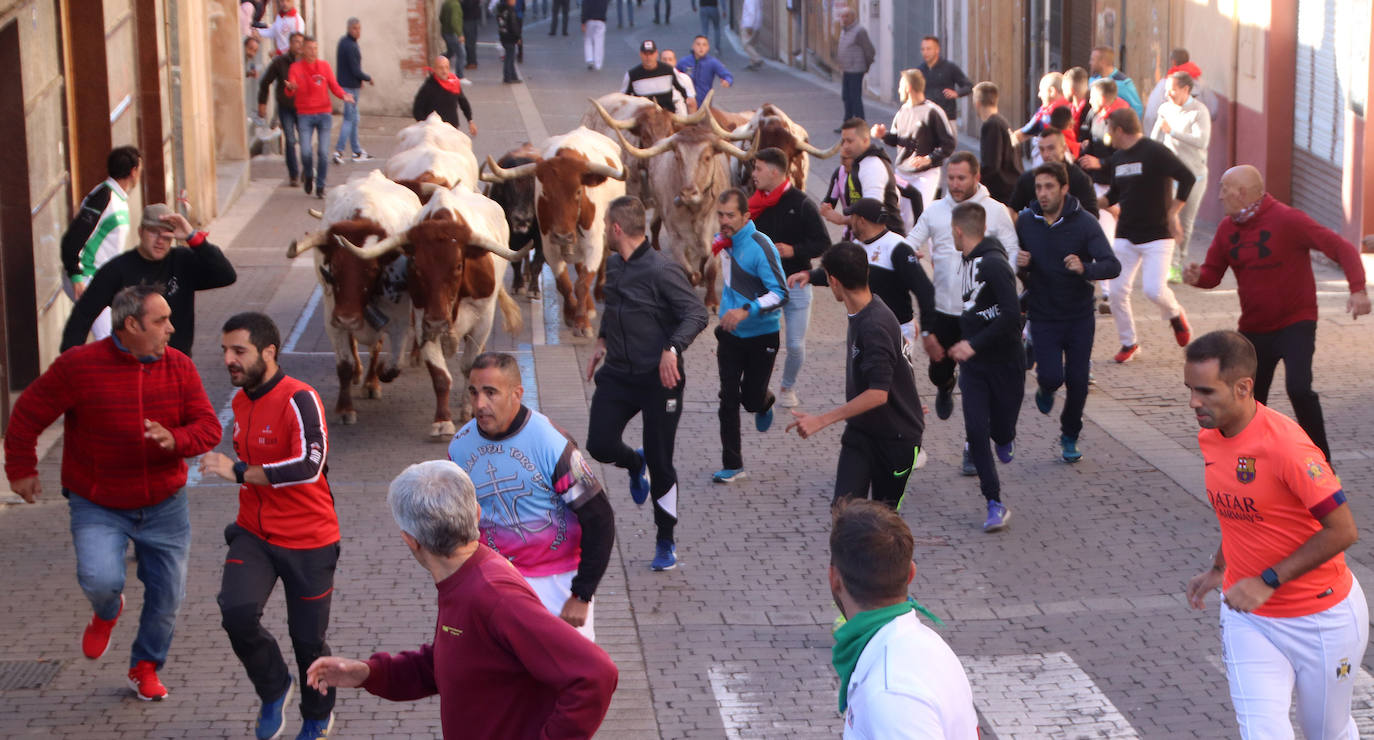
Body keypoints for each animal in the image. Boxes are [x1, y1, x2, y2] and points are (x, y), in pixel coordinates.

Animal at [287, 170, 420, 425]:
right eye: (333, 268)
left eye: (372, 269)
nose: (347, 317)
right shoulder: (333, 319)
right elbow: (345, 365)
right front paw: (345, 408)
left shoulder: (399, 321)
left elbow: (393, 365)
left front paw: (378, 374)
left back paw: (370, 382)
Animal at [335, 185, 527, 436]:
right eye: (416, 266)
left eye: (458, 266)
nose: (438, 321)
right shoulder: (423, 320)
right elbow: (440, 375)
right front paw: (442, 421)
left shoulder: (483, 320)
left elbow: (470, 366)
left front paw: (469, 409)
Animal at [480, 124, 626, 339]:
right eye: (545, 193)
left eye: (578, 191)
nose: (563, 236)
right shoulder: (548, 245)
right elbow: (564, 283)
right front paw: (570, 314)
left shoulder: (593, 244)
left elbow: (583, 283)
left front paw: (582, 323)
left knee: (601, 261)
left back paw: (596, 297)